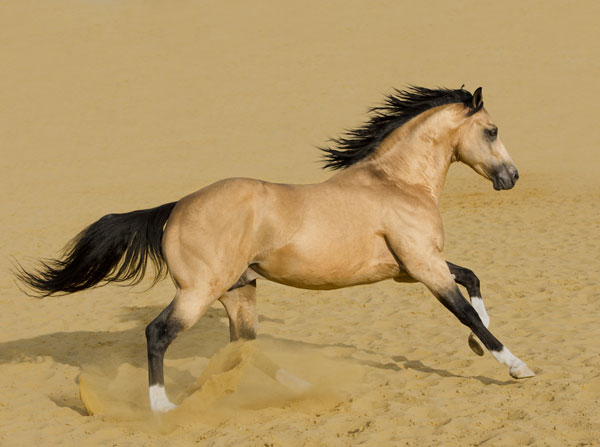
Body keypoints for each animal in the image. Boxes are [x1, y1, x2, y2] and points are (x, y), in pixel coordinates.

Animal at [17, 86, 536, 412]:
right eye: (491, 130)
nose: (511, 177)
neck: (396, 182)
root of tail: (175, 208)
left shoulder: (412, 266)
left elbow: (472, 280)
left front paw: (478, 346)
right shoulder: (423, 266)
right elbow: (464, 310)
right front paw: (515, 366)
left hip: (239, 291)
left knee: (247, 347)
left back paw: (303, 388)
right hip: (199, 292)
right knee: (158, 333)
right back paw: (163, 407)